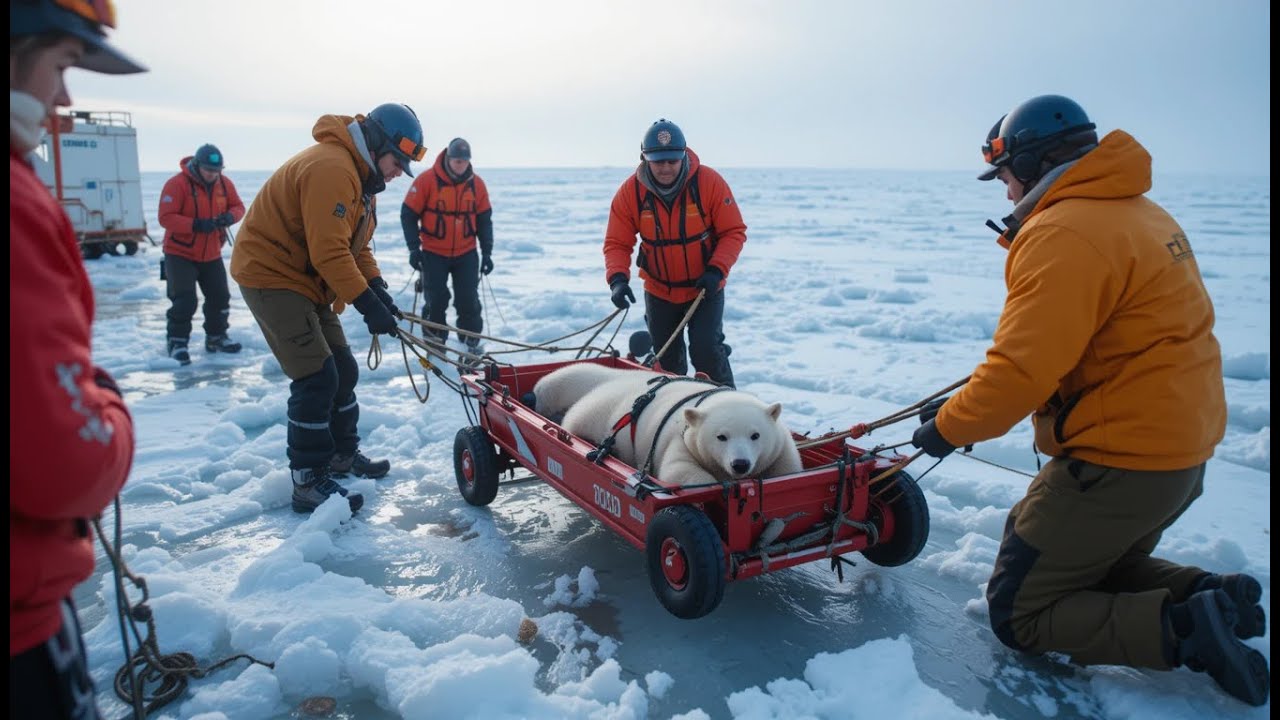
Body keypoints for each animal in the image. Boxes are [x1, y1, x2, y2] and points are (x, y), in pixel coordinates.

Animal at [530, 364, 803, 487]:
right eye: (721, 436)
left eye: (756, 435)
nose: (740, 464)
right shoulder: (681, 440)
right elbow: (679, 472)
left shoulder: (781, 448)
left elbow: (789, 472)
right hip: (599, 412)